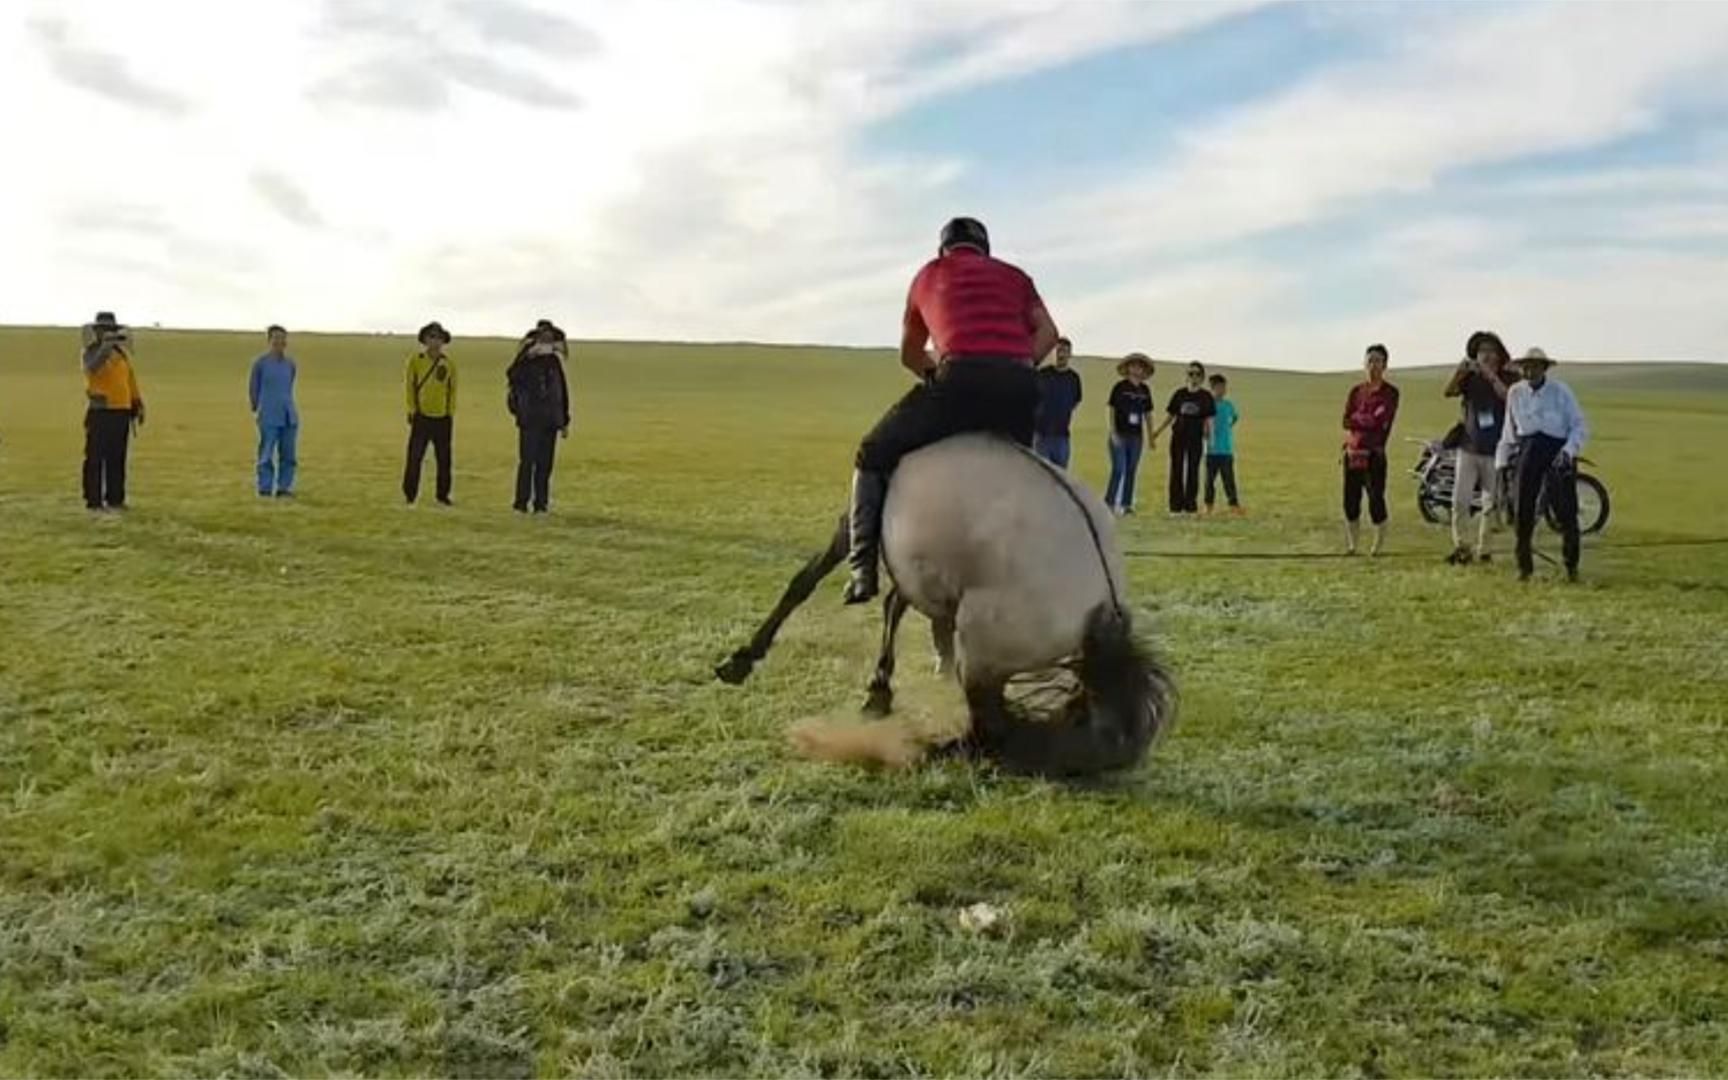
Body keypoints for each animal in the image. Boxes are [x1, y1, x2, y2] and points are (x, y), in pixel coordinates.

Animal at [711, 430, 1175, 774]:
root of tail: (1106, 613)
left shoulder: (864, 527)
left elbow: (807, 579)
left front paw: (741, 659)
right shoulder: (919, 567)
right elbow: (894, 607)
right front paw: (879, 691)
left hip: (982, 653)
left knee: (989, 733)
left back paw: (918, 751)